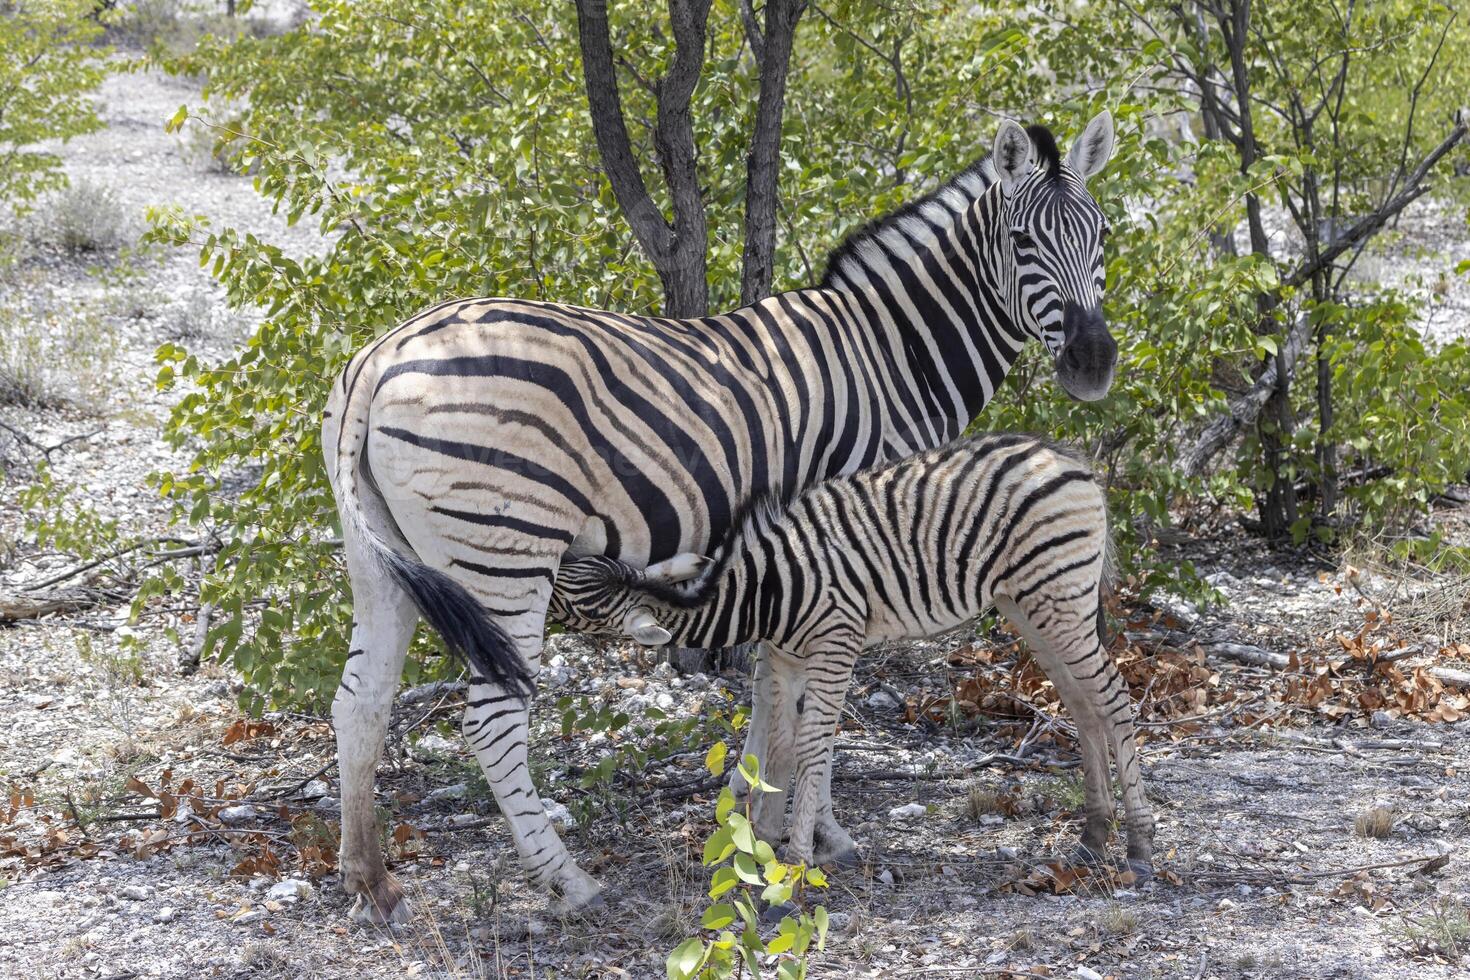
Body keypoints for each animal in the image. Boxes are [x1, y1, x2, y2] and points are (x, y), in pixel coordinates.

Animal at [552, 437, 1158, 875]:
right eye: (573, 571)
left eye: (567, 595)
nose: (550, 553)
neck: (765, 592)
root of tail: (1072, 460)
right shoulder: (789, 657)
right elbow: (786, 745)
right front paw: (780, 840)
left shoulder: (836, 643)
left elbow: (814, 746)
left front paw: (797, 861)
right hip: (1030, 605)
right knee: (1082, 704)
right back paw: (1092, 837)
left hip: (1059, 596)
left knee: (1114, 697)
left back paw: (1139, 846)